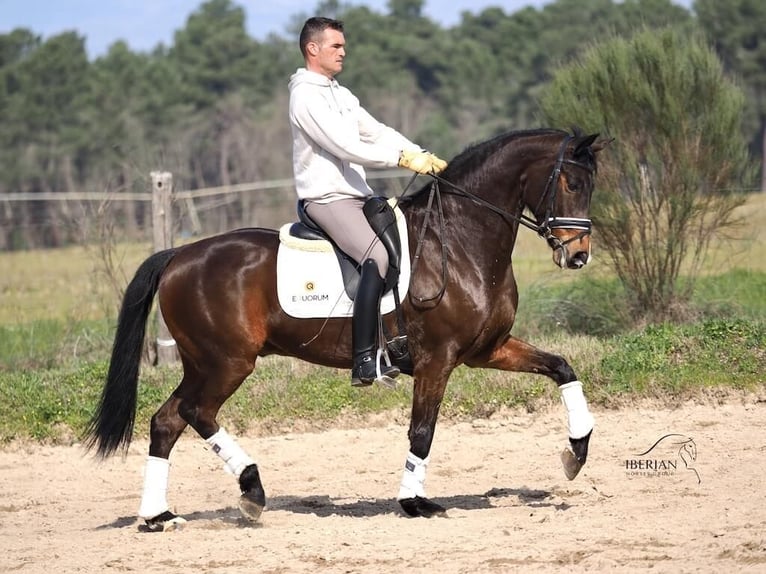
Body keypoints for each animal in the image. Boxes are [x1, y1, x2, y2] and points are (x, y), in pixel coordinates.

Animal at [86, 127, 609, 531]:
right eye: (569, 181)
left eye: (591, 185)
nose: (578, 255)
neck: (459, 240)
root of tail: (179, 255)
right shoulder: (436, 360)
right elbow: (422, 431)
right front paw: (413, 502)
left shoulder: (489, 349)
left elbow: (562, 368)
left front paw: (577, 452)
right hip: (227, 362)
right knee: (196, 413)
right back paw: (251, 490)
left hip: (203, 363)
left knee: (167, 421)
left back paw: (159, 516)